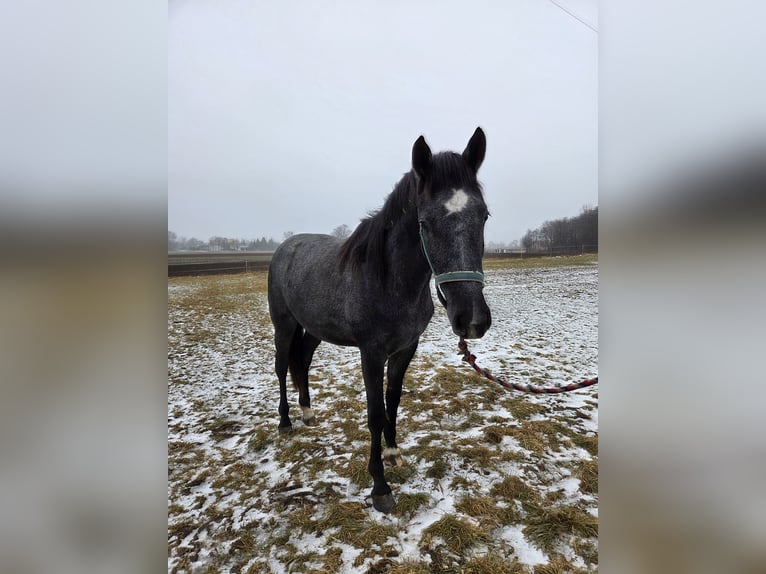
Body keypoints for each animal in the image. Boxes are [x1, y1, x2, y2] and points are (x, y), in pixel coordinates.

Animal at [267, 127, 491, 512]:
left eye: (485, 216)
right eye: (424, 223)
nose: (472, 319)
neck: (388, 279)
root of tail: (284, 249)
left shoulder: (405, 349)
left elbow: (393, 401)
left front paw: (392, 453)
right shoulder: (371, 354)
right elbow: (374, 413)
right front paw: (380, 487)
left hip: (313, 330)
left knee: (304, 362)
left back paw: (308, 414)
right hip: (284, 325)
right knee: (283, 367)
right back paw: (285, 422)